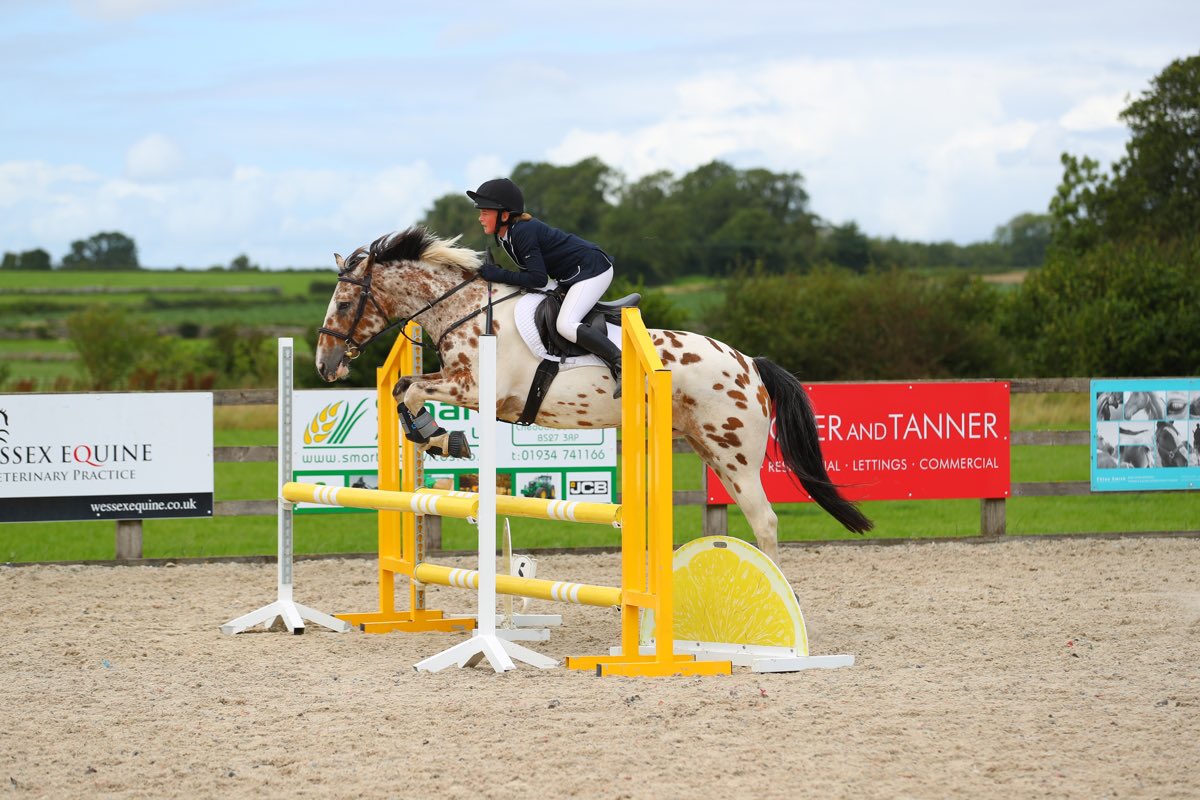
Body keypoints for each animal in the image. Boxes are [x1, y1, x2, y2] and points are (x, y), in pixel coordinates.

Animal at [314, 227, 872, 561]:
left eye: (342, 303)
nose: (324, 365)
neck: (466, 309)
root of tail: (749, 363)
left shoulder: (475, 389)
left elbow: (409, 391)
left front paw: (442, 438)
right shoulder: (460, 385)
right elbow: (403, 389)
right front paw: (435, 437)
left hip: (735, 453)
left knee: (766, 521)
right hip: (708, 448)